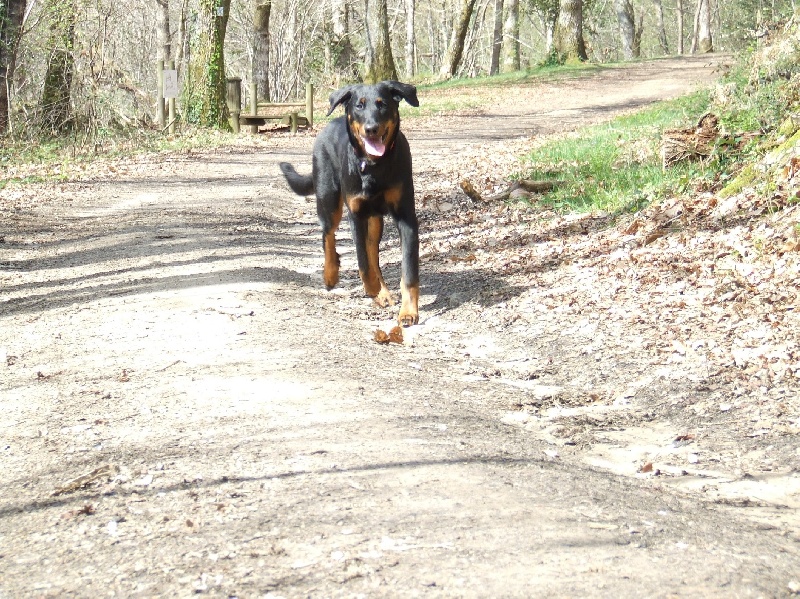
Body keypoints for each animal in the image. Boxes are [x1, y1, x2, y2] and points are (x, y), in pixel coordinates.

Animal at [280, 81, 422, 326]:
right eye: (359, 105)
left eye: (383, 104)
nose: (371, 128)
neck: (374, 167)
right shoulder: (356, 214)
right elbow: (362, 261)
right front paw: (371, 288)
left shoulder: (406, 217)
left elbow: (408, 270)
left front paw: (408, 311)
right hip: (329, 201)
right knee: (328, 234)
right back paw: (330, 273)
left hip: (375, 220)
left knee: (373, 253)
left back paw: (383, 293)